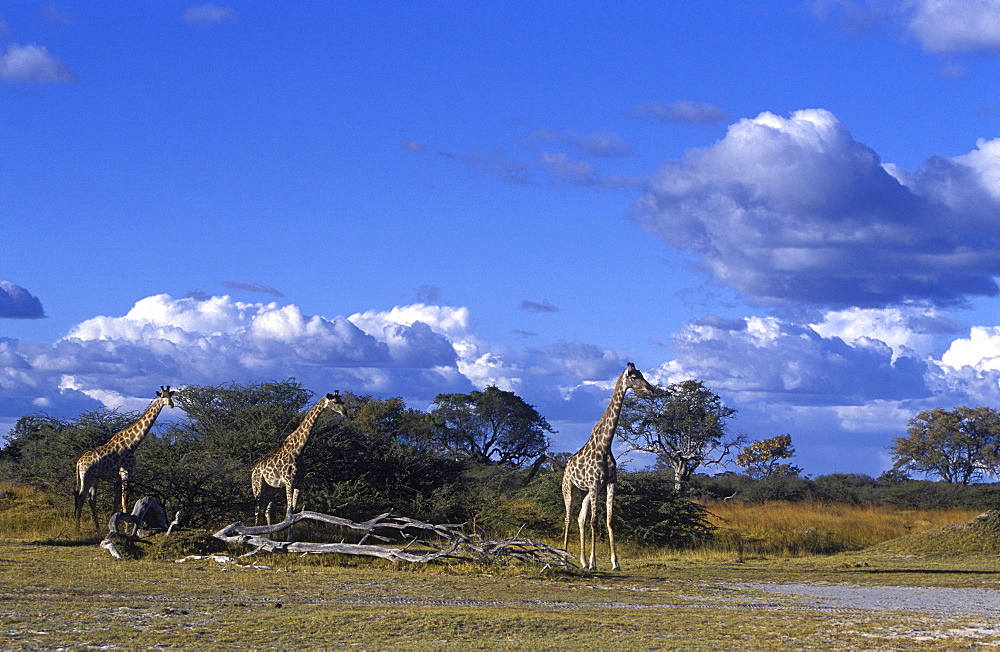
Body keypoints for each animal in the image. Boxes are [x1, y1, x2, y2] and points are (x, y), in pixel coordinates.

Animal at [75, 388, 175, 528]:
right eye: (162, 396)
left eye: (170, 396)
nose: (171, 404)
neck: (132, 444)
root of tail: (78, 462)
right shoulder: (126, 471)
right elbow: (124, 498)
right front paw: (127, 526)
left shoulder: (118, 476)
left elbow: (116, 500)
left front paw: (114, 521)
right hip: (87, 477)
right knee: (80, 497)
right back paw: (77, 528)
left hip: (94, 478)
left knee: (91, 499)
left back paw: (97, 528)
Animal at [252, 390, 350, 528]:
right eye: (335, 402)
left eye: (343, 401)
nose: (345, 413)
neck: (298, 451)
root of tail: (253, 469)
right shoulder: (289, 482)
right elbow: (288, 511)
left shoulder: (299, 483)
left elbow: (292, 512)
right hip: (257, 485)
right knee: (257, 509)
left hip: (273, 490)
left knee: (266, 511)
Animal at [564, 362, 656, 572]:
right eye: (634, 376)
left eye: (642, 374)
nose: (650, 389)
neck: (605, 445)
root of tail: (566, 467)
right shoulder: (595, 484)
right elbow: (594, 521)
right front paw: (593, 563)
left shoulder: (610, 483)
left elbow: (609, 519)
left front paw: (615, 562)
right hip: (569, 488)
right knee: (568, 519)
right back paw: (564, 559)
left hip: (586, 492)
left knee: (580, 518)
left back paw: (581, 561)